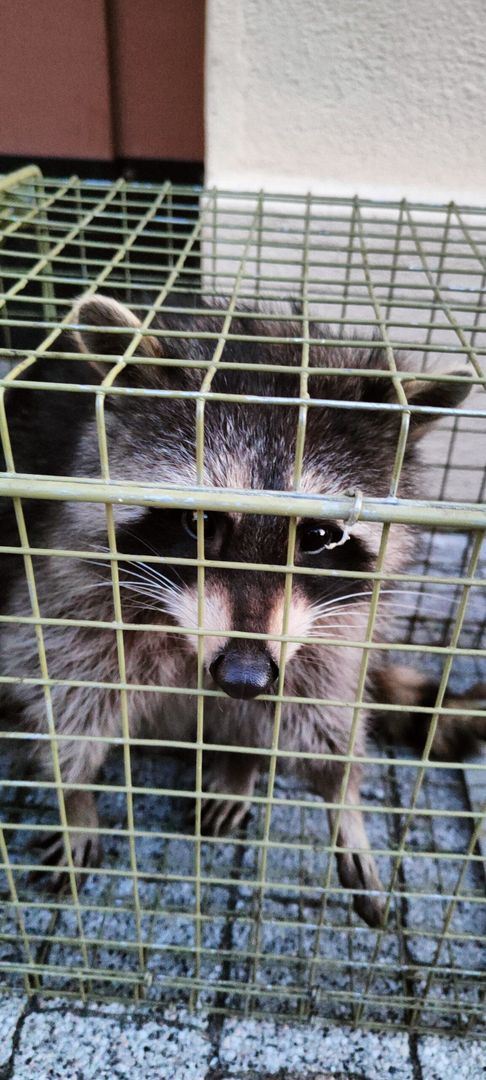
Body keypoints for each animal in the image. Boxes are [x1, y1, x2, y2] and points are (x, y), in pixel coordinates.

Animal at [0, 291, 479, 924]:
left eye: (319, 537)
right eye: (199, 522)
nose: (244, 678)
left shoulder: (328, 624)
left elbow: (319, 701)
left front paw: (343, 794)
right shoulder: (67, 573)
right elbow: (66, 683)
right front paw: (74, 794)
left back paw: (238, 761)